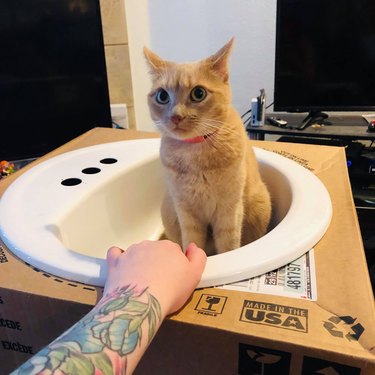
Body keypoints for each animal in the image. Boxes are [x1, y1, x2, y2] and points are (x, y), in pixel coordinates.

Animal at [145, 38, 274, 256]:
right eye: (162, 96)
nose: (176, 116)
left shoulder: (229, 211)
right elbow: (192, 243)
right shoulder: (186, 213)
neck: (195, 154)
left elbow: (228, 246)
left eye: (198, 93)